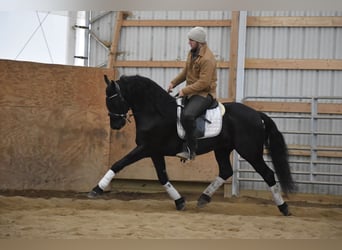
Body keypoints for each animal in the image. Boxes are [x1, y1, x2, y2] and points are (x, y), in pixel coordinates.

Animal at [89, 73, 296, 215]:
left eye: (114, 100)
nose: (115, 125)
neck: (156, 112)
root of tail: (256, 114)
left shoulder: (145, 148)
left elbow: (118, 164)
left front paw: (96, 189)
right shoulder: (155, 152)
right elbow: (162, 177)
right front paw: (179, 201)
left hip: (249, 151)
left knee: (268, 174)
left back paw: (284, 208)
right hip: (222, 149)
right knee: (225, 171)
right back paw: (203, 198)